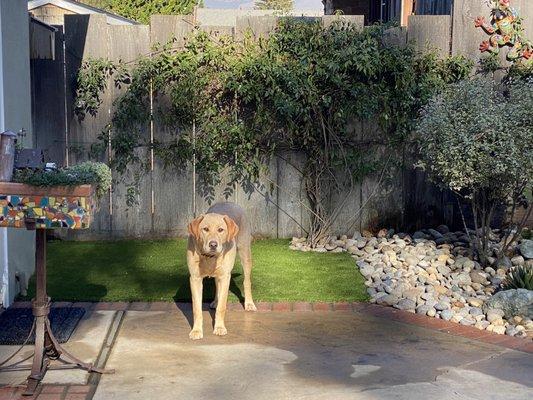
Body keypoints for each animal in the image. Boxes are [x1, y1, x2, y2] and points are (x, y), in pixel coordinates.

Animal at [187, 202, 256, 340]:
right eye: (205, 229)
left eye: (220, 230)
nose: (213, 244)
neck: (209, 257)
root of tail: (231, 202)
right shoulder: (195, 278)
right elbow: (197, 308)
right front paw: (196, 331)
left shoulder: (225, 277)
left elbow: (222, 307)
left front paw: (219, 328)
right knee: (216, 285)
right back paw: (215, 301)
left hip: (245, 252)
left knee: (246, 281)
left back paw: (249, 303)